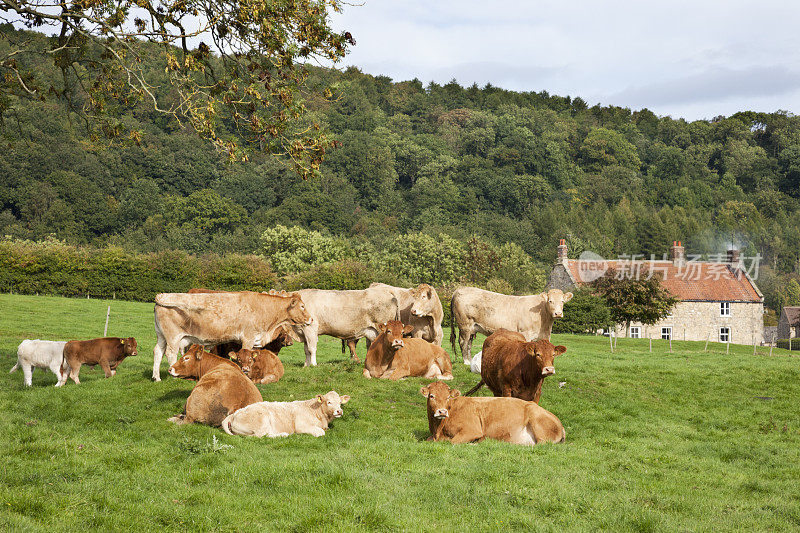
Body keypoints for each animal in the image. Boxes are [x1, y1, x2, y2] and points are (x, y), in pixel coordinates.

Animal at [152, 288, 310, 380]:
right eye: (302, 306)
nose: (311, 319)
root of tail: (162, 296)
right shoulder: (248, 338)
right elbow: (245, 353)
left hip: (161, 336)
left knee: (158, 351)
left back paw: (156, 377)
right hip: (173, 337)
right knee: (170, 353)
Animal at [223, 390, 352, 436]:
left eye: (340, 403)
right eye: (329, 402)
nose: (339, 411)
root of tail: (235, 413)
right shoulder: (302, 426)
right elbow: (320, 432)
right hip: (262, 421)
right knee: (262, 435)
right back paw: (284, 434)